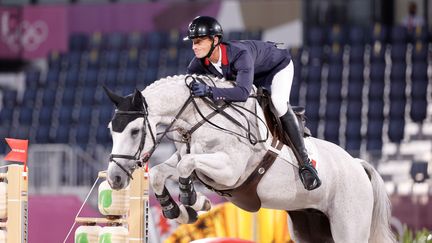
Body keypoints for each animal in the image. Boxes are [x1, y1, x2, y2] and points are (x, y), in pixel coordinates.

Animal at [104, 74, 394, 243]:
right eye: (111, 130)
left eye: (135, 131)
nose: (115, 178)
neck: (201, 118)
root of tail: (358, 165)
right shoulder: (188, 159)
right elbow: (159, 173)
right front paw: (178, 210)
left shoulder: (230, 171)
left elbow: (187, 166)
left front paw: (192, 199)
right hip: (310, 227)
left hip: (348, 226)